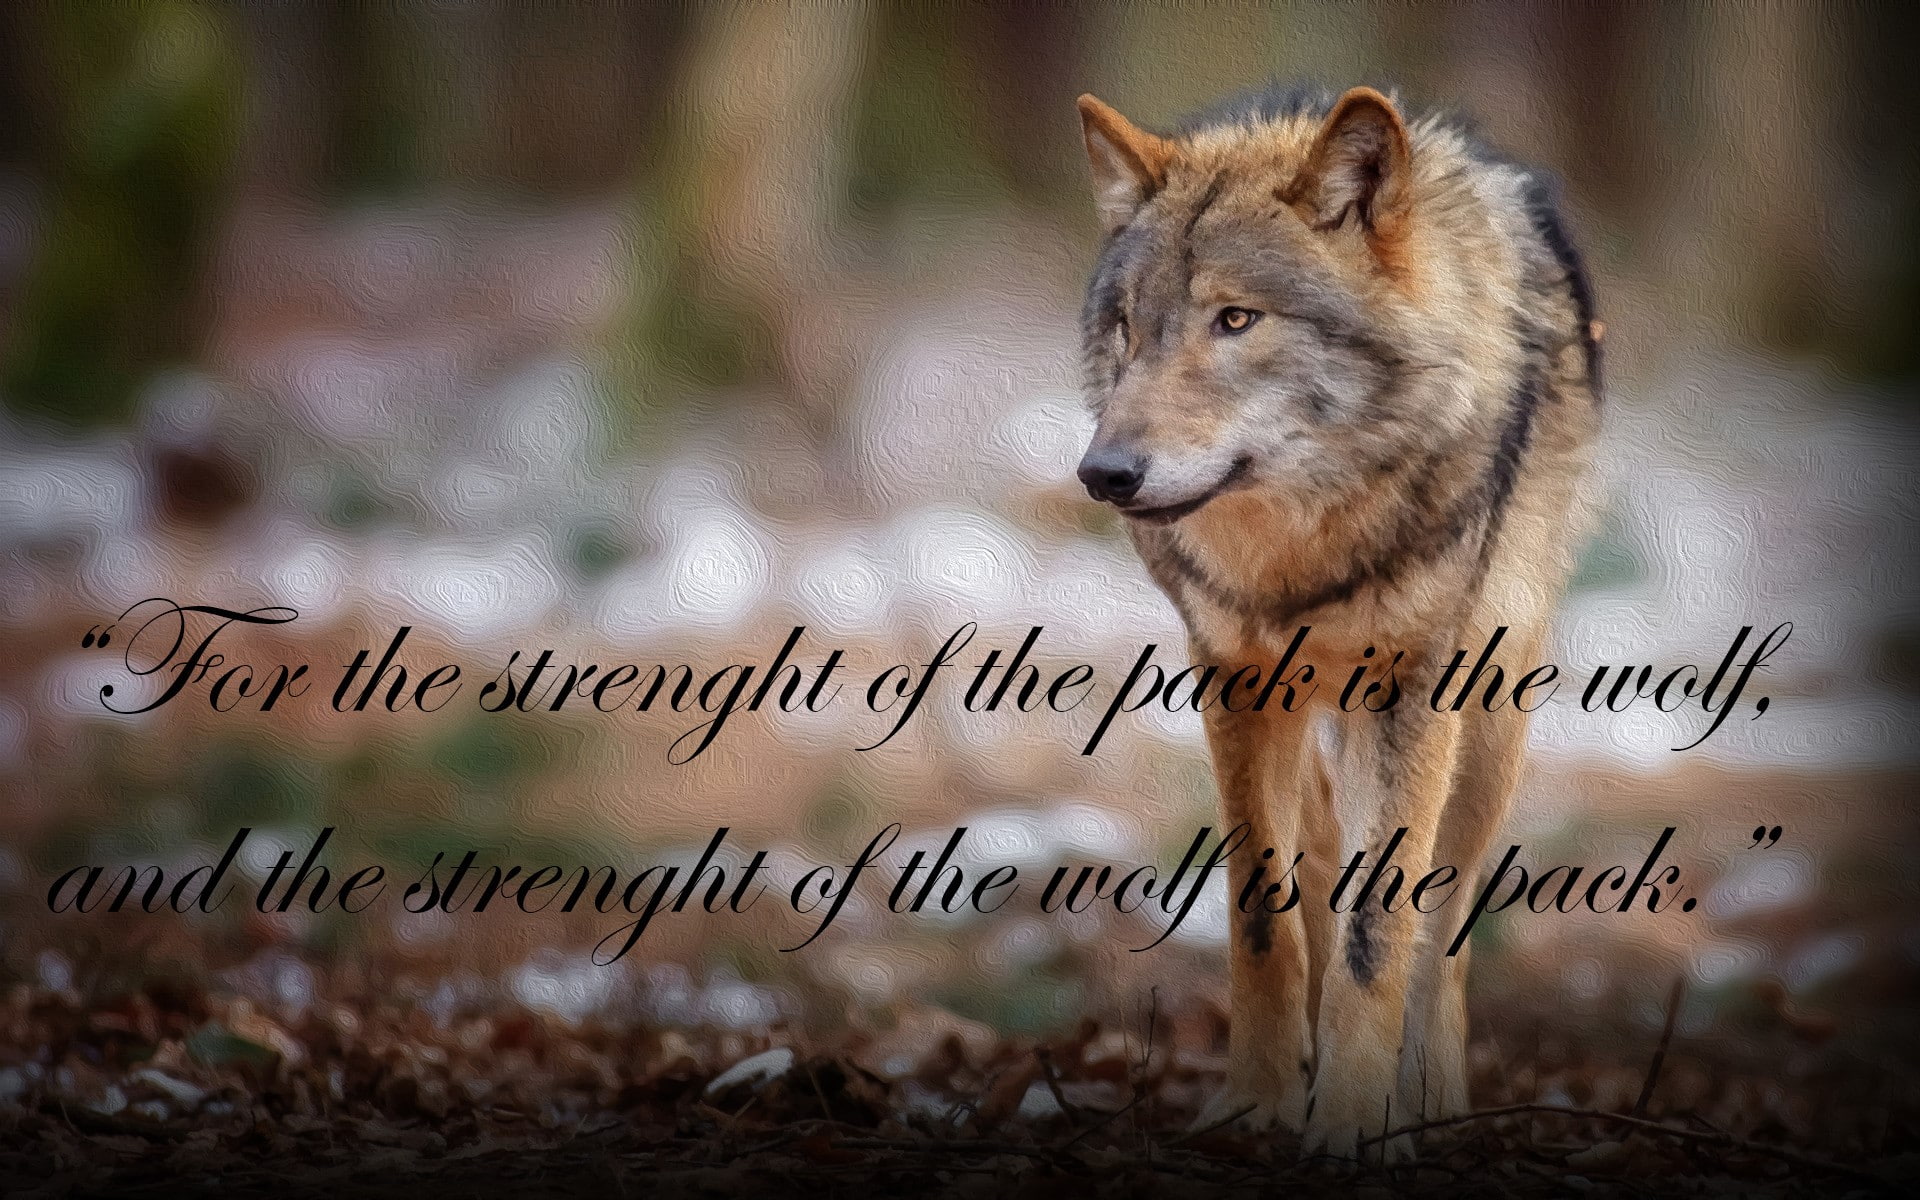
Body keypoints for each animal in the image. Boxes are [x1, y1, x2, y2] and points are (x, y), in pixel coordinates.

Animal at [1071, 85, 1601, 1160]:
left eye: (1236, 319)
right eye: (1127, 328)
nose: (1103, 474)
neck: (1299, 553)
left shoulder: (1413, 695)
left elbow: (1380, 933)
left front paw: (1356, 1122)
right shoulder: (1234, 682)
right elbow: (1262, 923)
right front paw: (1259, 1103)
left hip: (1486, 733)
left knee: (1444, 928)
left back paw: (1432, 1096)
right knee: (1318, 873)